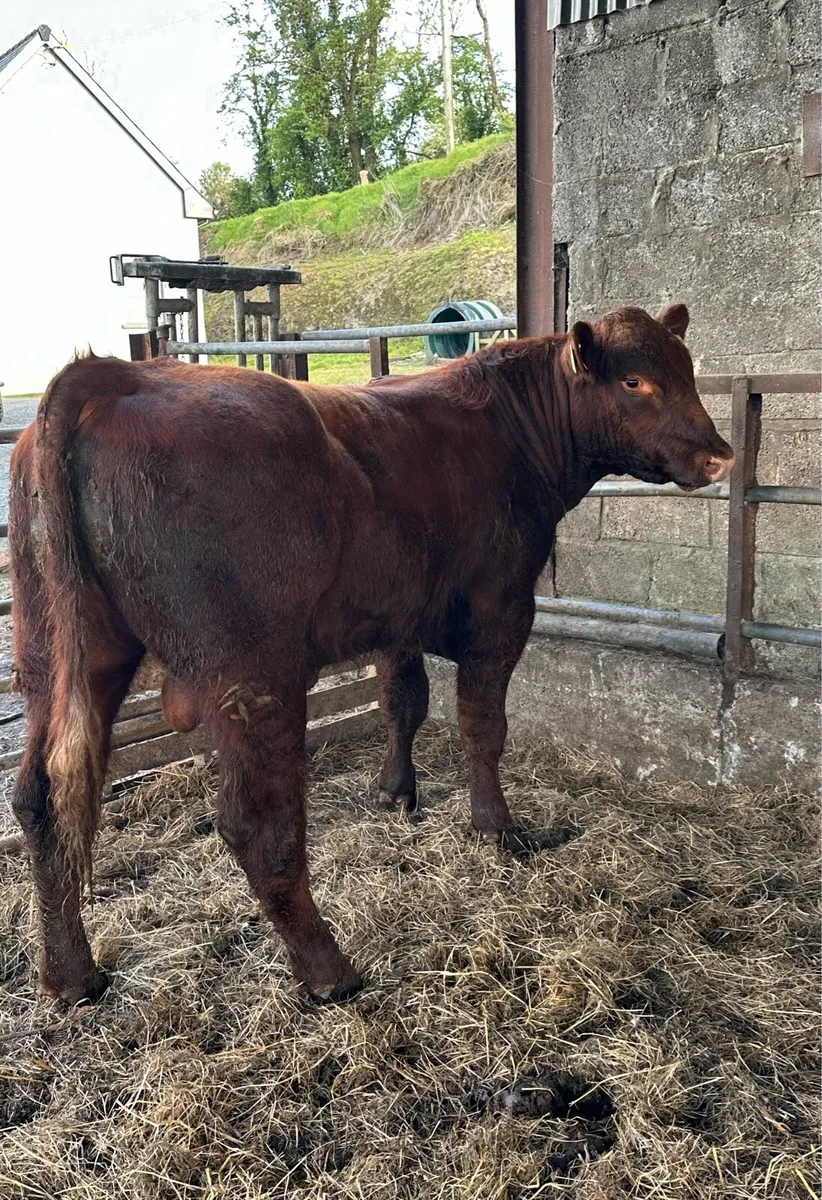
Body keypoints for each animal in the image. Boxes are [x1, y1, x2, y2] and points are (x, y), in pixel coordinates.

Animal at [9, 304, 733, 1007]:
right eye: (635, 381)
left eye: (687, 370)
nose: (720, 455)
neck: (508, 430)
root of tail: (113, 376)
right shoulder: (502, 611)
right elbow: (482, 727)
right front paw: (496, 828)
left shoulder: (397, 618)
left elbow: (401, 702)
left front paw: (394, 792)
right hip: (253, 673)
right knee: (256, 824)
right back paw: (329, 971)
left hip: (59, 657)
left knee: (42, 800)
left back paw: (71, 976)